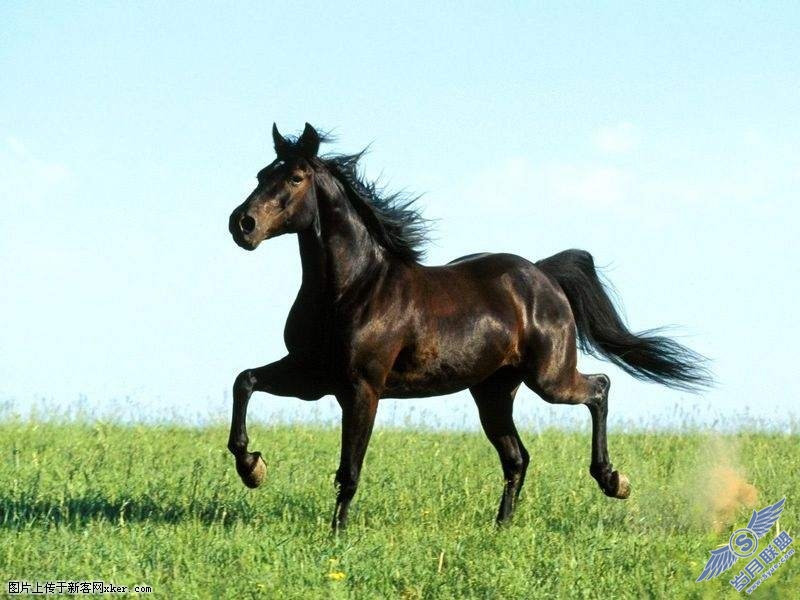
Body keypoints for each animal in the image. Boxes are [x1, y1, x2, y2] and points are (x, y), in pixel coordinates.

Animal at [227, 123, 711, 530]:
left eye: (294, 178)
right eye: (261, 174)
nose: (242, 224)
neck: (353, 289)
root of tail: (542, 274)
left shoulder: (361, 387)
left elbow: (349, 468)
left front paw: (337, 535)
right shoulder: (313, 375)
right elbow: (245, 381)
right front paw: (253, 468)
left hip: (549, 379)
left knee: (599, 388)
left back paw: (613, 480)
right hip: (493, 391)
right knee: (517, 458)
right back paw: (502, 527)